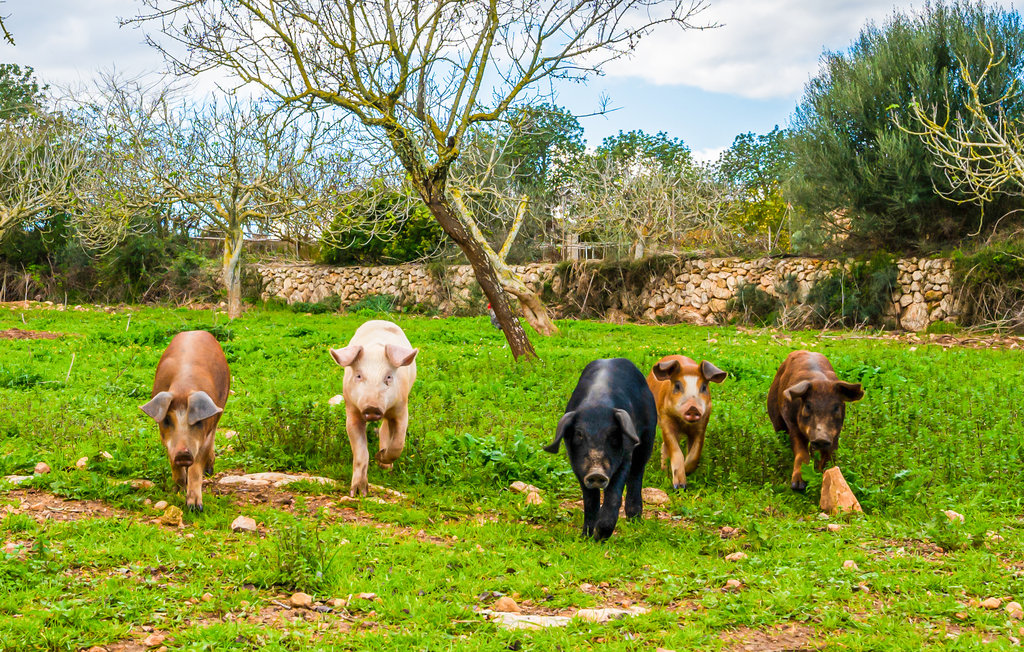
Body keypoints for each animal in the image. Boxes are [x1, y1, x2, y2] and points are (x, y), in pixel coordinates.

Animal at [138, 333, 228, 511]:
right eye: (167, 420)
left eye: (198, 422)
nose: (183, 454)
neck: (183, 388)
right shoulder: (166, 440)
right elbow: (175, 467)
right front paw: (177, 491)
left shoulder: (204, 437)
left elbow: (196, 469)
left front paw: (195, 508)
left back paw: (209, 471)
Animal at [331, 317, 419, 495]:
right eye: (358, 375)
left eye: (389, 377)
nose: (372, 407)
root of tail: (380, 319)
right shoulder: (352, 411)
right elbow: (360, 452)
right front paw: (358, 493)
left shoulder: (401, 408)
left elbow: (398, 443)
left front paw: (380, 456)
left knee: (385, 428)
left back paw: (384, 465)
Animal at [544, 356, 655, 540]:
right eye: (579, 434)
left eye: (612, 434)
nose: (596, 472)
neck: (597, 404)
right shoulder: (577, 465)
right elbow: (589, 500)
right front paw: (586, 537)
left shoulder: (625, 456)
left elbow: (614, 495)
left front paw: (599, 536)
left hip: (648, 437)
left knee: (637, 474)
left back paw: (634, 521)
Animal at [647, 356, 729, 487]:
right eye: (677, 386)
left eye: (704, 387)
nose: (693, 408)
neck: (684, 424)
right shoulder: (666, 420)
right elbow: (676, 450)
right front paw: (679, 486)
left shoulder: (702, 424)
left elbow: (694, 454)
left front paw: (687, 472)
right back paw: (664, 472)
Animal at [770, 350, 864, 487]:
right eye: (808, 406)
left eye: (836, 407)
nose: (821, 438)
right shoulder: (793, 425)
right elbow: (801, 452)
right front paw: (798, 485)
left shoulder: (834, 434)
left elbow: (829, 456)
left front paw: (823, 476)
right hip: (776, 417)